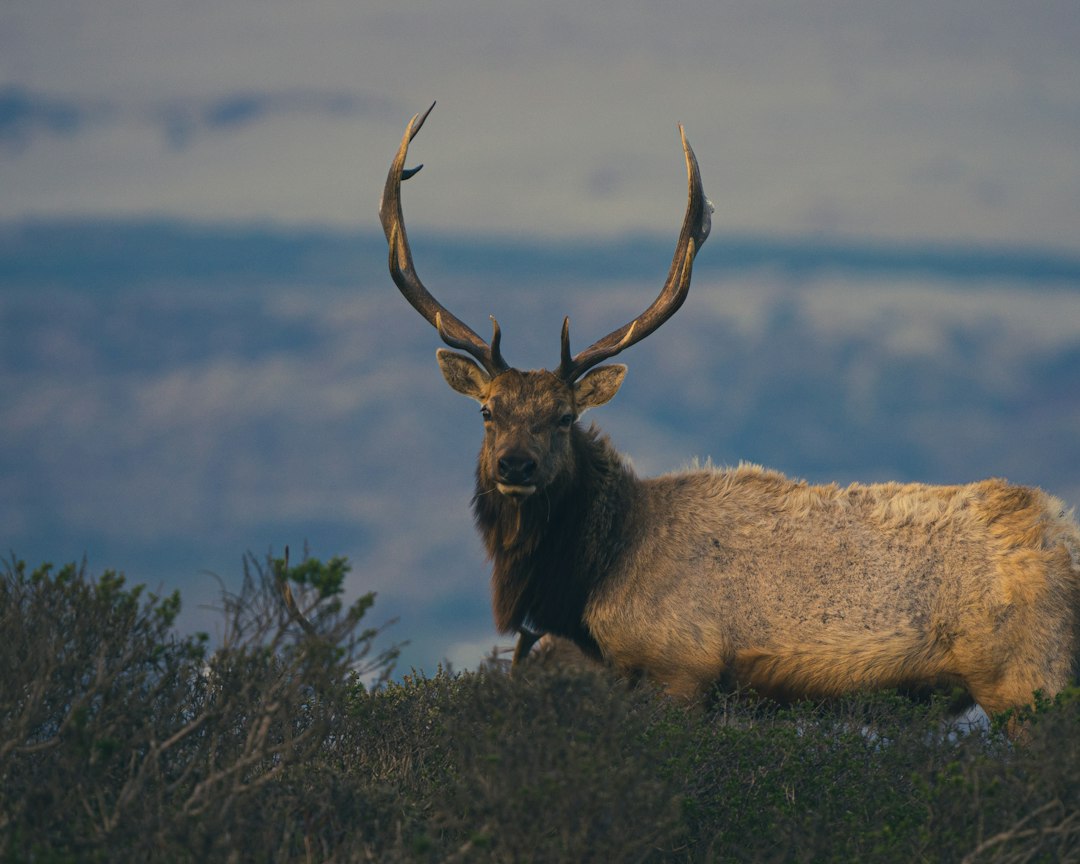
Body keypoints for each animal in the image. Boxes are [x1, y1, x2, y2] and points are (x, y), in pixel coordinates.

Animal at [379, 103, 1080, 727]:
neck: (593, 581)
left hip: (1030, 680)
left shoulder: (681, 668)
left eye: (564, 417)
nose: (515, 465)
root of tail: (1064, 532)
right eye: (487, 411)